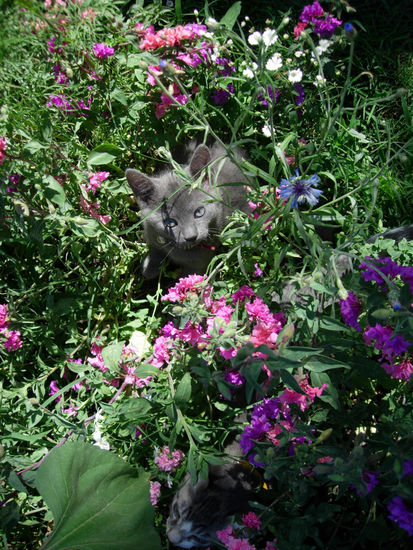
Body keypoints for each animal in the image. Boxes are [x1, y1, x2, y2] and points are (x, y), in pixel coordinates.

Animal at [124, 142, 248, 280]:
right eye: (170, 222)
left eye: (199, 212)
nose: (191, 236)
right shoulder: (151, 231)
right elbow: (156, 248)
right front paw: (149, 266)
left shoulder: (200, 262)